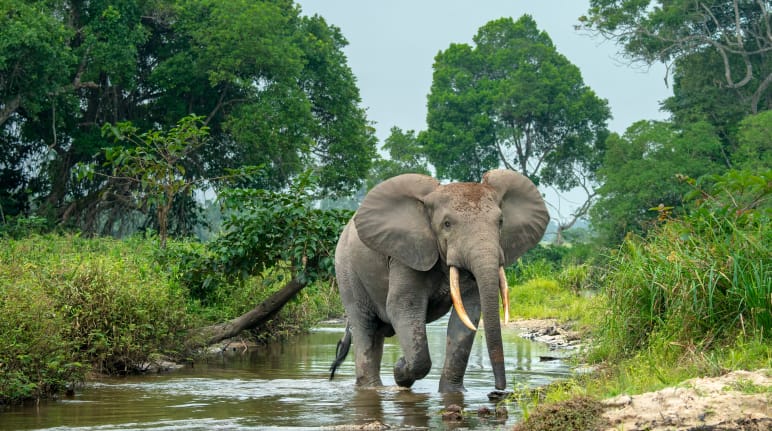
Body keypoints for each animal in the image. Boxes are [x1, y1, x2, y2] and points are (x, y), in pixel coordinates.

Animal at [328, 170, 552, 394]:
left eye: (500, 222)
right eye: (447, 224)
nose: (499, 389)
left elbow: (468, 313)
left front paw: (453, 393)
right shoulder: (406, 253)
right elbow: (402, 306)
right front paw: (400, 370)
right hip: (346, 272)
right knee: (364, 326)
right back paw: (372, 389)